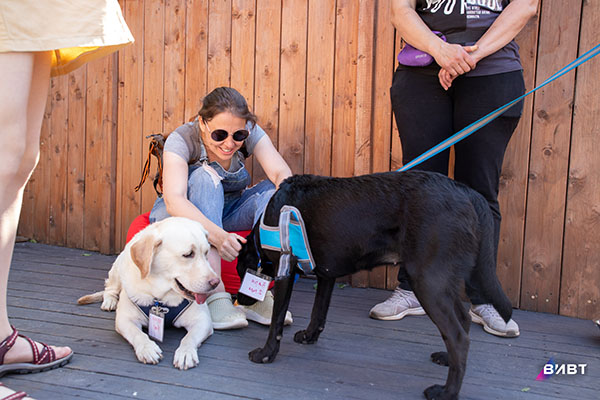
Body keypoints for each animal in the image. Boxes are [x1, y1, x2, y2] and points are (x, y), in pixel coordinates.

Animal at [78, 217, 219, 370]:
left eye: (206, 253)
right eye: (188, 254)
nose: (216, 282)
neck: (161, 297)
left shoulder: (202, 320)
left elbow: (189, 338)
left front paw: (186, 353)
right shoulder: (124, 320)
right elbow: (137, 334)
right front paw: (147, 348)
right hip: (116, 270)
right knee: (110, 288)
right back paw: (110, 301)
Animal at [236, 171, 513, 400]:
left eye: (240, 272)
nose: (241, 300)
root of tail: (466, 192)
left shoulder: (285, 268)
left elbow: (277, 322)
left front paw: (265, 354)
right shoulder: (327, 275)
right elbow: (319, 312)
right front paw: (309, 336)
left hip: (428, 281)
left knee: (458, 336)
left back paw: (447, 392)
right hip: (444, 281)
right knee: (462, 323)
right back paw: (446, 359)